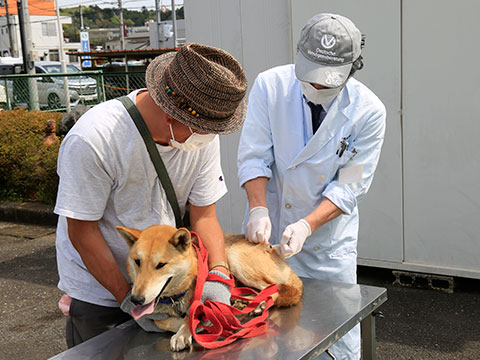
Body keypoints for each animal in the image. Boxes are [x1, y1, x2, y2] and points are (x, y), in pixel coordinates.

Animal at [116, 225, 304, 352]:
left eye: (161, 265)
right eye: (137, 262)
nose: (136, 300)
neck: (176, 297)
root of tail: (270, 248)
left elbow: (190, 315)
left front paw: (186, 330)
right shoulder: (158, 315)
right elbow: (161, 321)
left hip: (235, 258)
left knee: (275, 288)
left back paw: (260, 305)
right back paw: (242, 303)